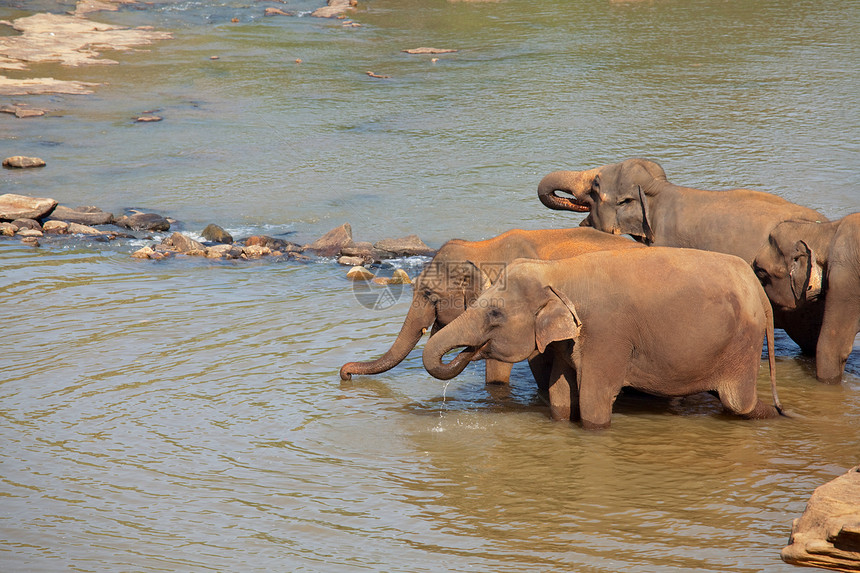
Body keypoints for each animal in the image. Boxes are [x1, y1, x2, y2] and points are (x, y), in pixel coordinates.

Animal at [424, 247, 788, 428]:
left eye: (495, 315)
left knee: (738, 403)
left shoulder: (606, 333)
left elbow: (592, 403)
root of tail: (758, 289)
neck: (558, 269)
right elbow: (560, 396)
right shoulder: (569, 341)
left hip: (744, 343)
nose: (467, 351)